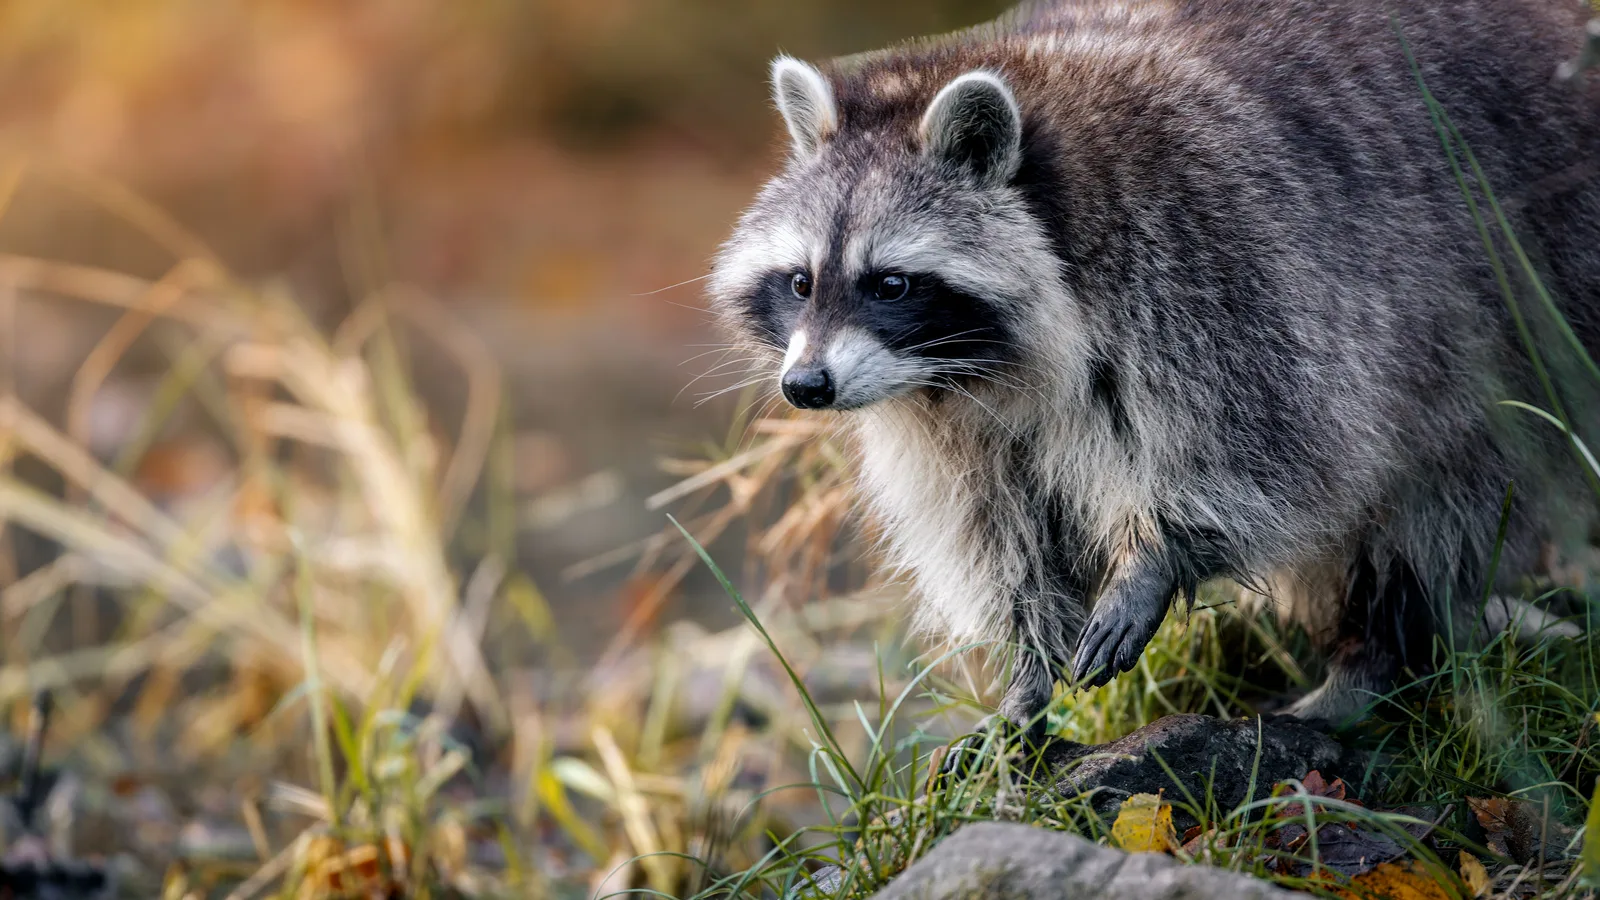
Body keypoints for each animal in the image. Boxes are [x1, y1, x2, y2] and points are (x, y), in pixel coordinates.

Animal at [707, 0, 1600, 736]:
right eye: (800, 281)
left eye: (889, 283)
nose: (806, 388)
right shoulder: (948, 417)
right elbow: (997, 533)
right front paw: (1027, 675)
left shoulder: (1209, 259)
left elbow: (1273, 447)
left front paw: (1155, 559)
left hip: (1527, 302)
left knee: (1447, 497)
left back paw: (1378, 651)